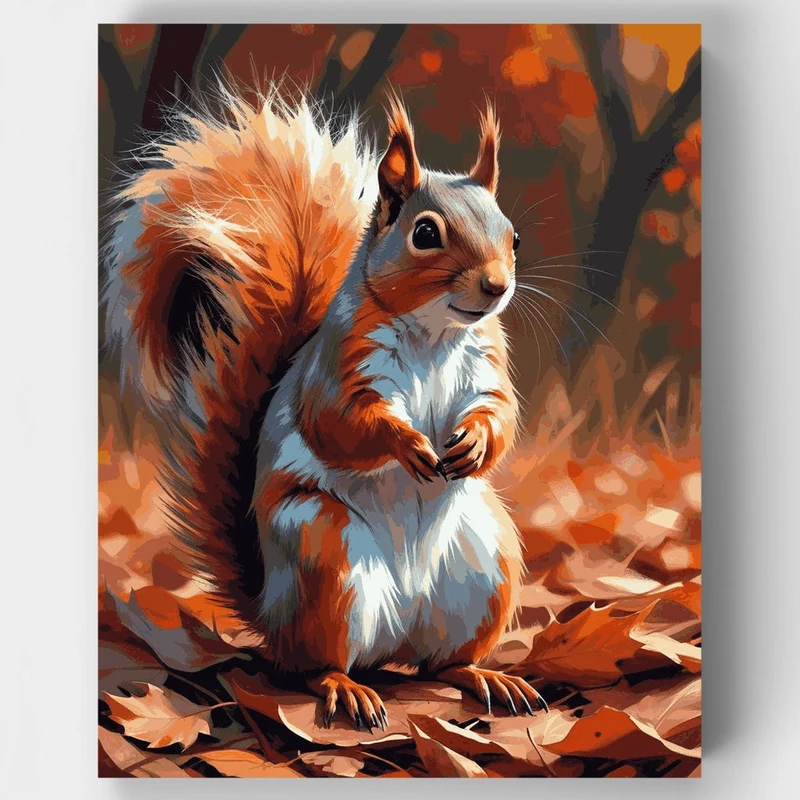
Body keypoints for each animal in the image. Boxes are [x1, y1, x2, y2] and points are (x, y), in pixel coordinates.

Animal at [102, 84, 548, 730]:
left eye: (512, 237)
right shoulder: (339, 366)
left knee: (440, 664)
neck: (434, 334)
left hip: (488, 561)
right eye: (425, 234)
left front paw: (474, 443)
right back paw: (346, 687)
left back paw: (484, 675)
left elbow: (502, 416)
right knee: (314, 664)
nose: (496, 286)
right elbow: (338, 422)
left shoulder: (487, 367)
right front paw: (407, 444)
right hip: (323, 555)